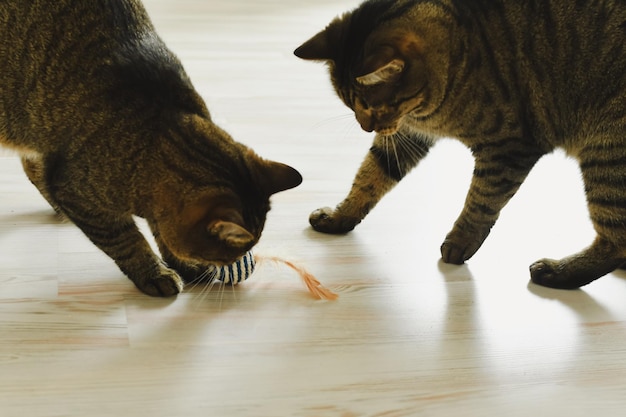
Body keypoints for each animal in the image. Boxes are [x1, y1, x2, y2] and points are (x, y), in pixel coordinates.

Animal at [0, 0, 302, 296]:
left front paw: (182, 263)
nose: (233, 264)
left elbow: (161, 232)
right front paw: (154, 273)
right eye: (226, 256)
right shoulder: (79, 196)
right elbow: (127, 241)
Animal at [294, 0, 624, 288]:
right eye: (350, 104)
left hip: (606, 151)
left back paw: (558, 272)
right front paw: (340, 216)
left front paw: (460, 241)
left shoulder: (508, 148)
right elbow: (369, 177)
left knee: (614, 243)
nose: (366, 127)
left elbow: (482, 199)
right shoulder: (407, 134)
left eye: (369, 105)